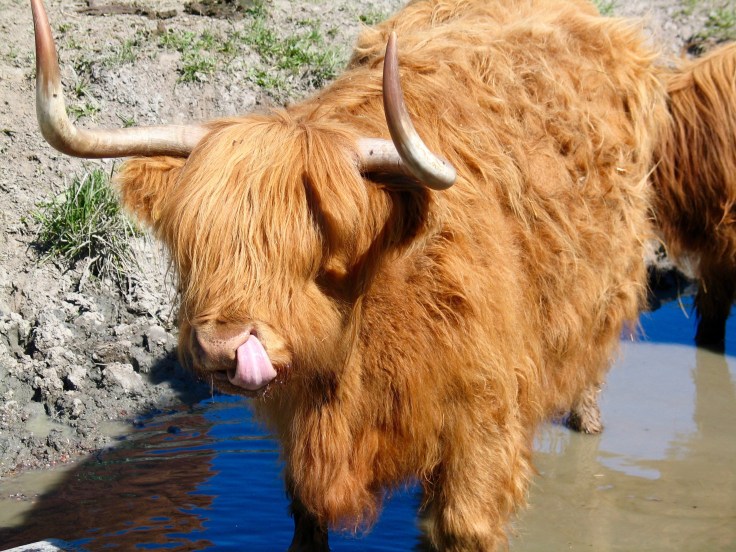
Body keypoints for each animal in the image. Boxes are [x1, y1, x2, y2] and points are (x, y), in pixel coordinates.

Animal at [30, 0, 670, 549]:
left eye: (309, 251)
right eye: (196, 244)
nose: (221, 346)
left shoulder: (484, 421)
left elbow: (464, 527)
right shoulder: (303, 440)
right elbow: (306, 520)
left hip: (604, 293)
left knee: (590, 363)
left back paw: (589, 422)